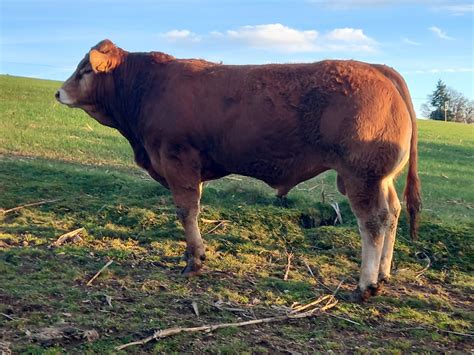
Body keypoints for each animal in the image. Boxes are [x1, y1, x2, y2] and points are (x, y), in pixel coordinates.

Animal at [56, 39, 422, 300]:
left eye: (85, 70)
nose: (58, 92)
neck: (146, 88)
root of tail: (377, 68)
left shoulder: (177, 161)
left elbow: (186, 211)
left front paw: (194, 260)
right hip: (381, 179)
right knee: (392, 213)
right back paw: (384, 274)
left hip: (361, 176)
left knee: (373, 223)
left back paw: (366, 285)